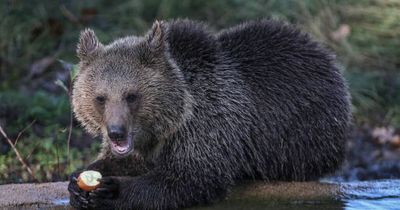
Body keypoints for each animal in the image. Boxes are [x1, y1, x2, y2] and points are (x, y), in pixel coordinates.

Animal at [68, 18, 350, 209]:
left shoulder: (207, 123)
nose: (116, 132)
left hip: (304, 134)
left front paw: (111, 191)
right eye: (100, 98)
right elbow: (122, 161)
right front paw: (78, 184)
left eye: (131, 95)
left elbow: (189, 178)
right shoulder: (146, 143)